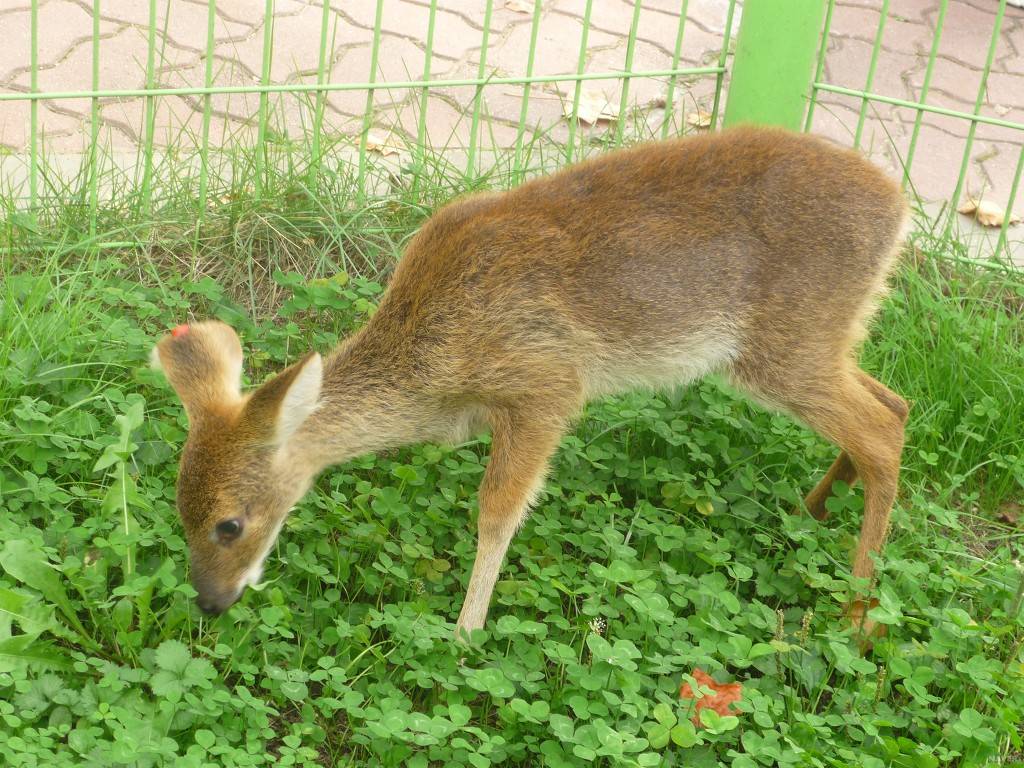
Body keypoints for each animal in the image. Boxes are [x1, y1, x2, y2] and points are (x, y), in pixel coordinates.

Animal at [151, 126, 905, 638]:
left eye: (229, 523)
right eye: (179, 510)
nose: (210, 602)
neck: (431, 357)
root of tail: (898, 209)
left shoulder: (546, 385)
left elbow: (497, 511)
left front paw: (465, 632)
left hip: (787, 343)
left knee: (883, 431)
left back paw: (856, 612)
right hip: (826, 337)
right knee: (895, 401)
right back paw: (814, 512)